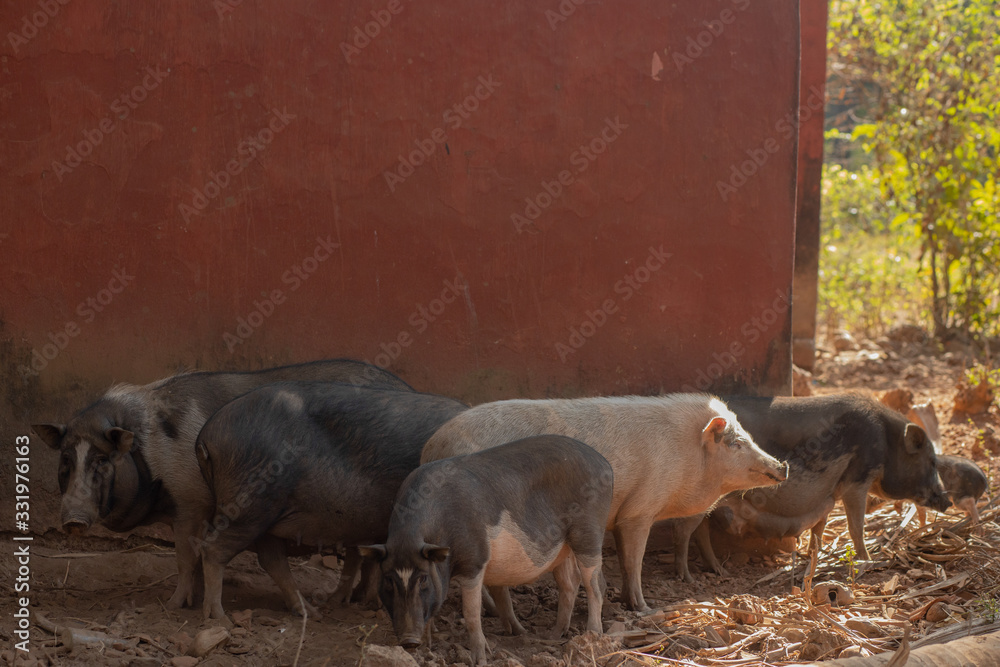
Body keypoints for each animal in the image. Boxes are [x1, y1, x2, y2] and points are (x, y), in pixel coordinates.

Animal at [31, 358, 413, 611]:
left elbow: (185, 556)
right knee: (362, 552)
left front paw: (174, 605)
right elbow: (198, 555)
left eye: (102, 460)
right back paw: (352, 601)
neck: (148, 452)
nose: (73, 519)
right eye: (65, 461)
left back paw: (358, 604)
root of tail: (408, 387)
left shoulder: (191, 502)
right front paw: (194, 600)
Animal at [196, 381, 468, 620]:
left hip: (266, 512)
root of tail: (205, 435)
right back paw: (219, 617)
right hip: (249, 503)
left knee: (272, 560)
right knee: (214, 550)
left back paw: (312, 612)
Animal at [361, 435, 613, 666]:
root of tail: (604, 463)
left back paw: (593, 634)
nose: (408, 641)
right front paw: (428, 648)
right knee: (569, 584)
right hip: (563, 549)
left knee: (595, 584)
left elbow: (472, 614)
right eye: (388, 579)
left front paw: (480, 660)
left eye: (423, 578)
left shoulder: (475, 562)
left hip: (589, 533)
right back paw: (552, 635)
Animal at [420, 393, 788, 611]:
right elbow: (634, 561)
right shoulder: (640, 509)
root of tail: (432, 448)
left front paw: (623, 601)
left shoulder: (619, 515)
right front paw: (646, 609)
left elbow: (624, 559)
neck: (687, 455)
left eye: (746, 436)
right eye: (736, 443)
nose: (782, 465)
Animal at [670, 394, 952, 582]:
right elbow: (855, 528)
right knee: (686, 530)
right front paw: (868, 560)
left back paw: (718, 570)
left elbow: (820, 526)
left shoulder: (829, 494)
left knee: (700, 529)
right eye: (931, 461)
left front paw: (812, 556)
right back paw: (690, 577)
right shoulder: (857, 480)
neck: (886, 443)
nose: (948, 501)